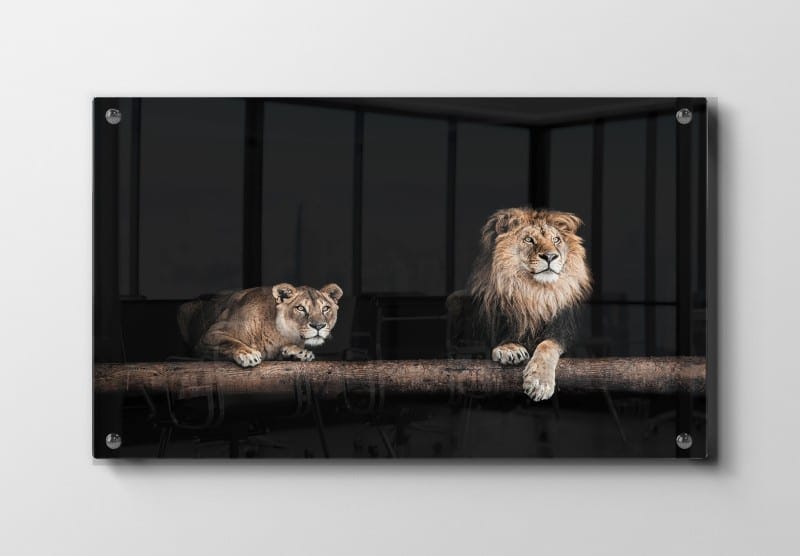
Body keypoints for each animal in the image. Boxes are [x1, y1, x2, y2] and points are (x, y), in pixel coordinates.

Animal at [177, 283, 343, 367]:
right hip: (183, 309)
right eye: (300, 308)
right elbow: (230, 342)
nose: (319, 326)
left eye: (325, 308)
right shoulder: (209, 335)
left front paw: (299, 352)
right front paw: (247, 353)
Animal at [460, 207, 591, 401]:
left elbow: (548, 344)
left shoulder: (565, 329)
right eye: (529, 239)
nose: (550, 256)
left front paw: (540, 383)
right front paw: (510, 349)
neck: (533, 293)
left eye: (556, 239)